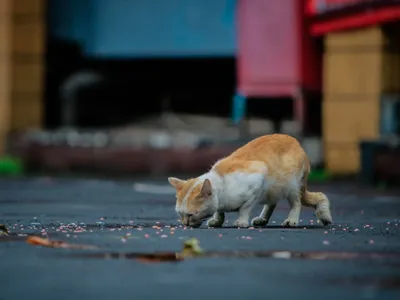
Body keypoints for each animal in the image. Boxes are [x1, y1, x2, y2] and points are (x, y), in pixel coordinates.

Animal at [167, 134, 332, 227]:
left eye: (190, 215)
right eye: (180, 214)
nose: (185, 224)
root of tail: (297, 142)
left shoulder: (259, 178)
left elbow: (245, 208)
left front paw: (241, 221)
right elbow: (219, 211)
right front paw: (217, 220)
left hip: (290, 185)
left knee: (296, 202)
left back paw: (291, 220)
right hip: (275, 190)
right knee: (272, 203)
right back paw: (262, 219)